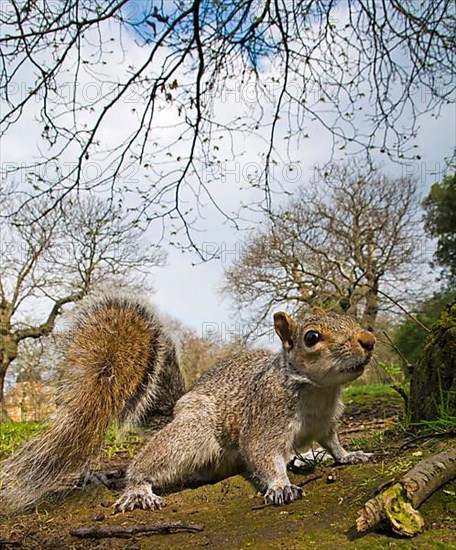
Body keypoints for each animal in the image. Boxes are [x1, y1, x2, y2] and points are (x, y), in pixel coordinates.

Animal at [0, 296, 374, 516]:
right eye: (311, 337)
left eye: (351, 320)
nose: (368, 340)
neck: (318, 392)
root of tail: (176, 410)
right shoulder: (265, 419)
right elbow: (262, 454)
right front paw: (280, 486)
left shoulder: (326, 423)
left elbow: (333, 442)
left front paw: (348, 455)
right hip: (195, 432)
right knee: (151, 461)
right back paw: (138, 488)